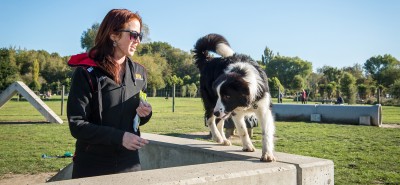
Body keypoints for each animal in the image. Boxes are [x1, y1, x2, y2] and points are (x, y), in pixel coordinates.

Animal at [193, 33, 276, 162]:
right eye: (218, 95)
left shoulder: (264, 109)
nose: (217, 112)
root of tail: (208, 60)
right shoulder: (235, 111)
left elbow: (266, 132)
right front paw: (248, 146)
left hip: (223, 111)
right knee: (210, 119)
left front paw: (267, 154)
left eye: (227, 96)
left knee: (219, 121)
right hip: (211, 103)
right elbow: (242, 130)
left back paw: (224, 140)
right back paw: (217, 137)